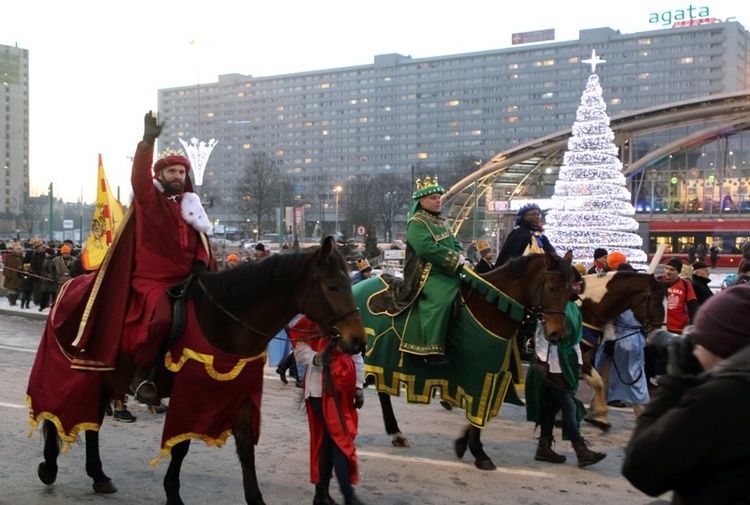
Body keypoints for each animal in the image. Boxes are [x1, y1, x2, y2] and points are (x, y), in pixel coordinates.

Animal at [27, 236, 368, 504]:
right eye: (333, 286)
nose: (358, 340)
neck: (223, 321)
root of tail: (70, 285)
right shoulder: (191, 395)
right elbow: (181, 446)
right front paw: (173, 493)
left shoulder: (239, 395)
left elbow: (246, 448)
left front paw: (255, 498)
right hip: (74, 371)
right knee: (58, 410)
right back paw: (49, 467)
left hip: (104, 378)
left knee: (92, 421)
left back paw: (98, 475)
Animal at [356, 251, 580, 468]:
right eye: (551, 288)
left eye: (570, 291)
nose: (557, 334)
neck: (490, 308)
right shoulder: (479, 374)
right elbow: (478, 412)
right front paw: (479, 453)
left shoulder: (495, 373)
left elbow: (483, 413)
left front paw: (464, 444)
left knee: (382, 391)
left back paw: (396, 432)